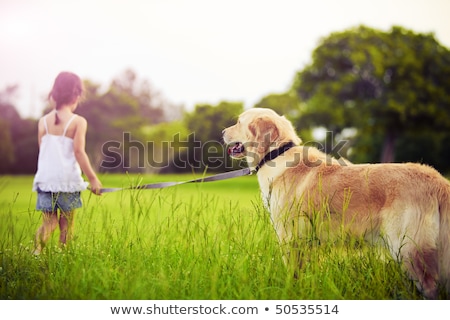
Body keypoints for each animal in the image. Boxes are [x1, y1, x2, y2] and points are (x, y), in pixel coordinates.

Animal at [222, 108, 450, 300]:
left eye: (239, 122)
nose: (223, 131)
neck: (277, 154)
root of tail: (438, 180)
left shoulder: (289, 238)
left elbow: (292, 274)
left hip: (409, 248)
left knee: (430, 286)